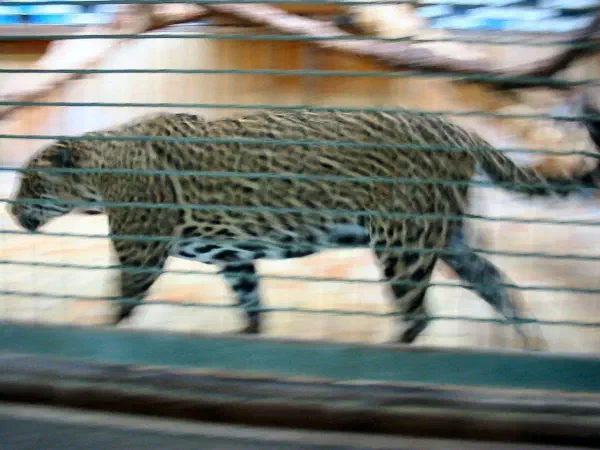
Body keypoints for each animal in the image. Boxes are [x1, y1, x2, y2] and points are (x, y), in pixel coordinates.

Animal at [8, 109, 598, 348]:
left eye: (30, 183)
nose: (11, 212)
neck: (98, 174)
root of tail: (456, 129)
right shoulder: (234, 259)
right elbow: (251, 302)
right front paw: (249, 340)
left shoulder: (141, 250)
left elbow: (121, 300)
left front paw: (102, 330)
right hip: (449, 239)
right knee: (501, 286)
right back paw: (532, 346)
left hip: (403, 242)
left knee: (418, 313)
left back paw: (390, 354)